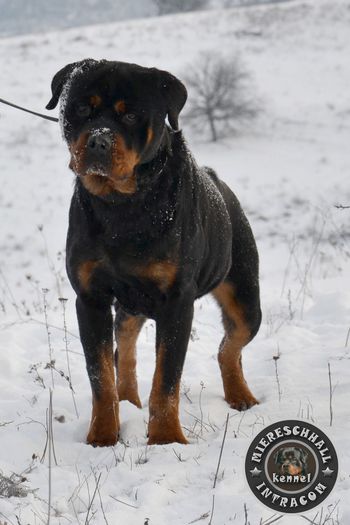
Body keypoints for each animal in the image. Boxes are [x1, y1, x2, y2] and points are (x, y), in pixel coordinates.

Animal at [45, 58, 260, 446]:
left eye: (130, 116)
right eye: (82, 109)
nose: (98, 140)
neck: (123, 206)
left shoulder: (177, 301)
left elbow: (166, 379)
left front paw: (165, 439)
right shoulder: (91, 297)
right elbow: (100, 375)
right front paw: (103, 437)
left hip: (245, 298)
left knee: (230, 346)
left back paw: (240, 395)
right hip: (132, 303)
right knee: (124, 348)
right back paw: (128, 400)